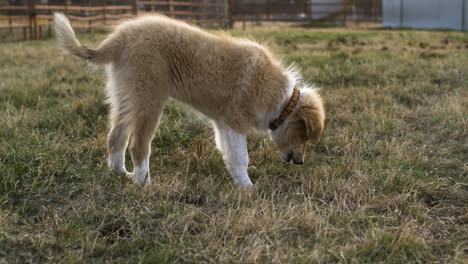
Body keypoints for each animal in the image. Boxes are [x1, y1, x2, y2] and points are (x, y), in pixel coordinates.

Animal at [53, 12, 324, 188]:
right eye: (304, 136)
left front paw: (239, 178)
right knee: (138, 145)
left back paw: (121, 174)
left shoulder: (222, 123)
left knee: (116, 137)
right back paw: (144, 182)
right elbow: (240, 156)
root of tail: (120, 37)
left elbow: (227, 152)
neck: (282, 101)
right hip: (149, 99)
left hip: (125, 97)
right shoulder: (235, 122)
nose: (300, 162)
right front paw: (248, 186)